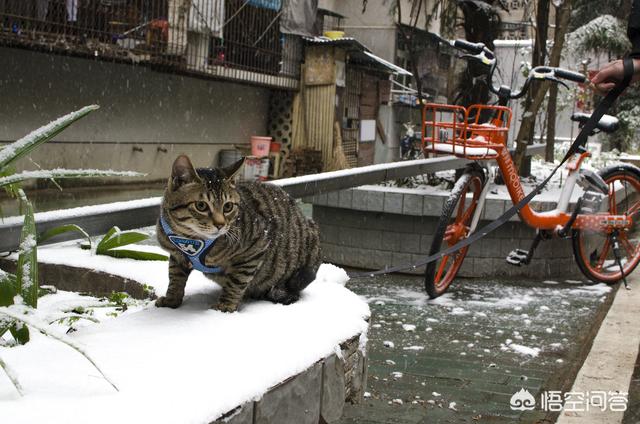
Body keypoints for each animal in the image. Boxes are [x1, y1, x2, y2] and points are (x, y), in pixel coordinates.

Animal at [158, 155, 322, 312]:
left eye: (228, 207)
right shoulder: (176, 256)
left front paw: (225, 306)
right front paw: (171, 299)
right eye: (201, 205)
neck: (189, 238)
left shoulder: (256, 248)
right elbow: (175, 278)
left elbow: (237, 281)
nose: (220, 225)